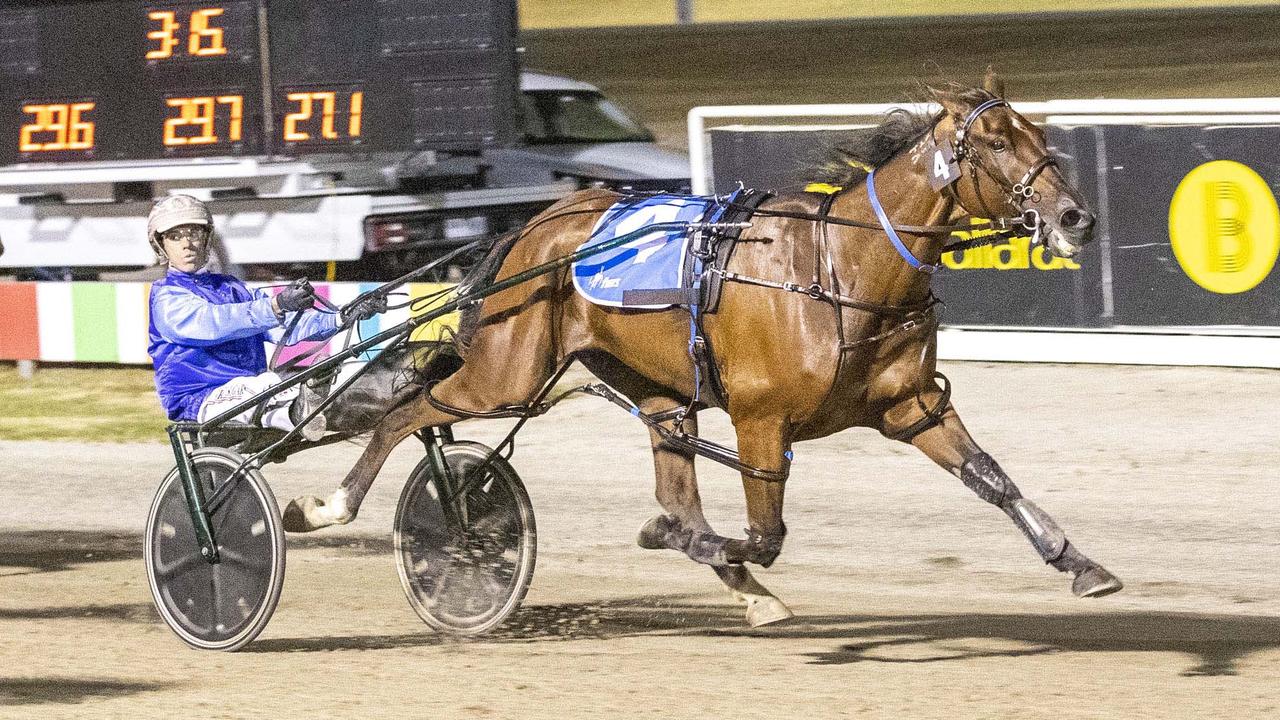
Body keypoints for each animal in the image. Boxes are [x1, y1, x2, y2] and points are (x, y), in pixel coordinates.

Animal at [282, 73, 1121, 622]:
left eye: (1040, 135)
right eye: (993, 143)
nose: (1075, 217)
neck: (839, 270)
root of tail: (537, 221)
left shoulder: (910, 405)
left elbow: (992, 479)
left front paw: (1081, 563)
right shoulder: (761, 421)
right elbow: (765, 532)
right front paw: (710, 548)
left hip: (655, 389)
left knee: (671, 478)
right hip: (506, 373)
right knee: (408, 412)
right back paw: (325, 505)